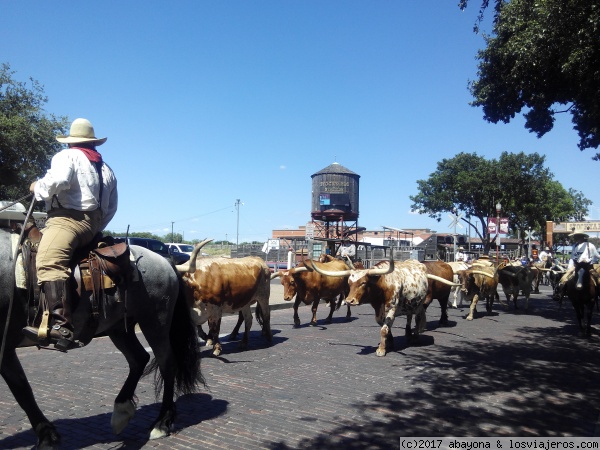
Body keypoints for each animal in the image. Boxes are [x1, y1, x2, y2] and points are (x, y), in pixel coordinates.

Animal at [0, 227, 206, 448]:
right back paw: (122, 411)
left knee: (167, 364)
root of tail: (164, 261)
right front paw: (46, 433)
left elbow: (22, 391)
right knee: (139, 358)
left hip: (154, 323)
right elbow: (21, 388)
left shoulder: (4, 349)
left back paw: (162, 423)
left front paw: (47, 435)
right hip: (119, 328)